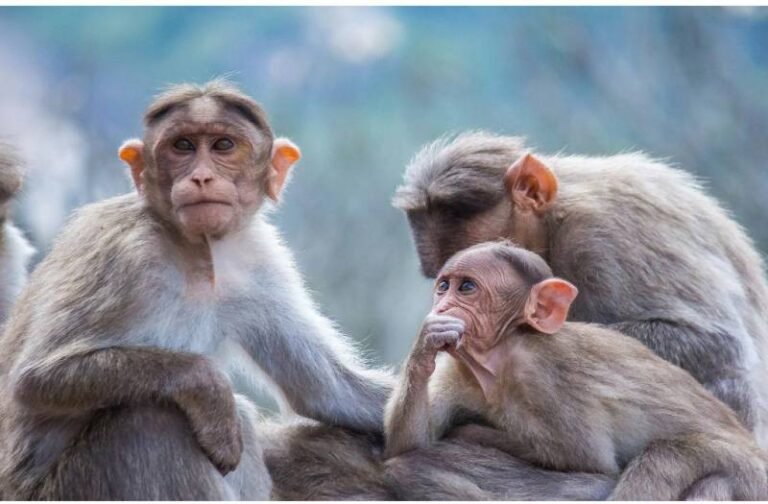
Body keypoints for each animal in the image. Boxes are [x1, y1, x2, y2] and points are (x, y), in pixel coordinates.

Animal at [0, 80, 392, 499]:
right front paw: (208, 388)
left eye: (223, 145)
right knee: (150, 419)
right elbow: (34, 378)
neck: (194, 252)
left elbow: (328, 391)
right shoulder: (122, 256)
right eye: (183, 146)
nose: (201, 177)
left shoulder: (258, 261)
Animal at [384, 241, 768, 500]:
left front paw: (471, 433)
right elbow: (410, 441)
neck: (502, 354)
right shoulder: (457, 370)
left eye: (467, 287)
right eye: (443, 286)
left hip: (748, 473)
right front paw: (426, 343)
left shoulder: (548, 377)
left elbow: (587, 459)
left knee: (667, 458)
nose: (442, 305)